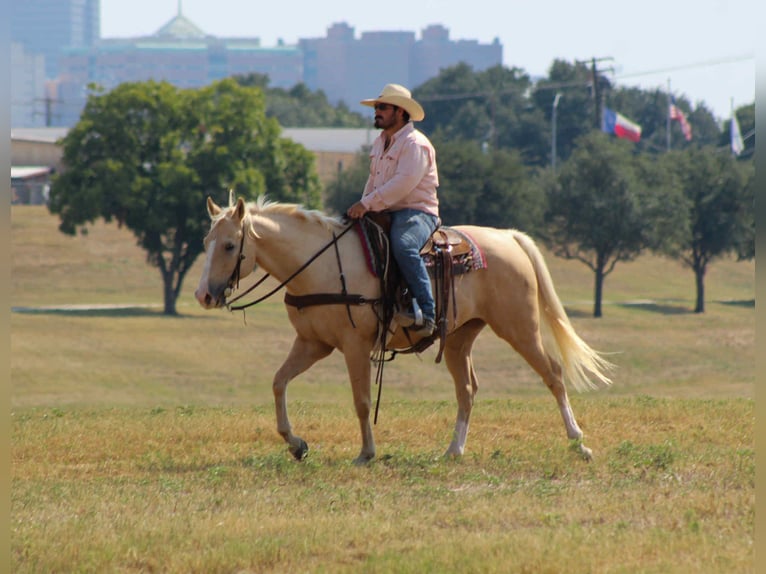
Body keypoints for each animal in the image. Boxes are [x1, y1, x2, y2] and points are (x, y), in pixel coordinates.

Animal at [194, 195, 613, 465]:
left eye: (230, 245)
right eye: (206, 241)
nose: (203, 295)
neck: (321, 265)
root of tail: (508, 236)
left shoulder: (354, 346)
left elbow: (362, 401)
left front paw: (366, 453)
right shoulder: (312, 343)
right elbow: (279, 383)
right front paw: (296, 444)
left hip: (519, 326)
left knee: (553, 374)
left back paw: (579, 444)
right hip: (460, 338)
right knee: (467, 390)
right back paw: (453, 451)